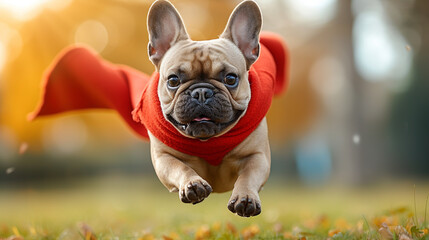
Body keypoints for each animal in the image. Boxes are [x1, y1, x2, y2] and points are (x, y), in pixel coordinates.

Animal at [28, 0, 286, 218]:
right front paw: (193, 184)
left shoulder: (257, 157)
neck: (208, 143)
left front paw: (245, 198)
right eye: (173, 80)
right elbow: (179, 168)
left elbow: (249, 175)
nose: (201, 92)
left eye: (231, 78)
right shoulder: (164, 159)